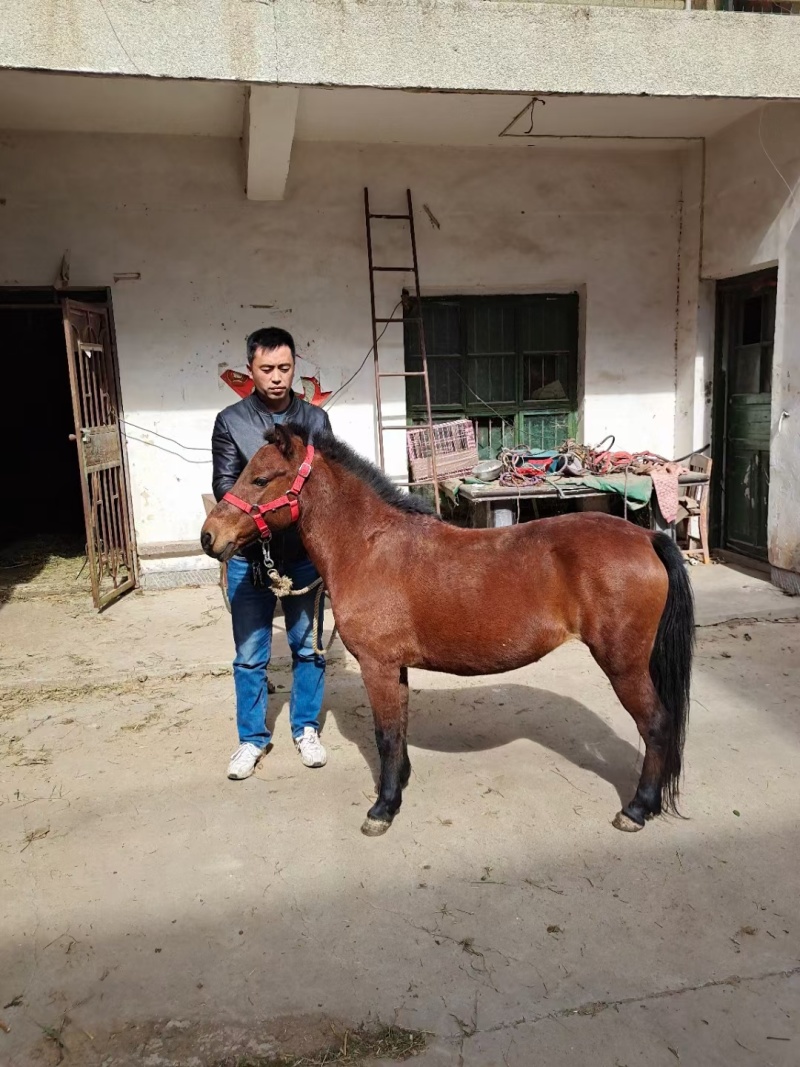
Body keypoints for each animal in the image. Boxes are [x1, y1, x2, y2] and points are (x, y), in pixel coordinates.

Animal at [201, 424, 694, 838]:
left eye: (261, 479)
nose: (209, 536)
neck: (368, 546)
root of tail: (646, 537)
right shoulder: (394, 668)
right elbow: (397, 730)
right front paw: (398, 787)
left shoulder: (378, 666)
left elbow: (385, 734)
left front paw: (382, 809)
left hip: (624, 664)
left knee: (656, 725)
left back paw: (637, 809)